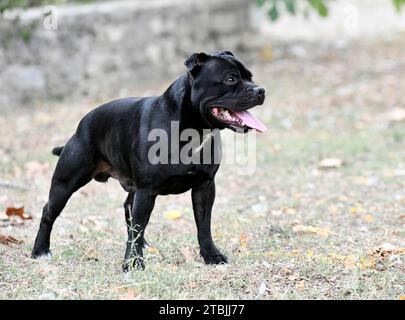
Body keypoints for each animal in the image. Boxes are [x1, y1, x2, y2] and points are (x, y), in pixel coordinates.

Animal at [31, 51, 266, 272]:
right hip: (66, 183)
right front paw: (133, 264)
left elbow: (203, 225)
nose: (260, 90)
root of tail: (83, 123)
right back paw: (40, 251)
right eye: (230, 79)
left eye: (250, 77)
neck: (192, 130)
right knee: (48, 212)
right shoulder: (147, 190)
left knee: (129, 210)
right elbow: (139, 225)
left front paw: (211, 256)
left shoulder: (204, 186)